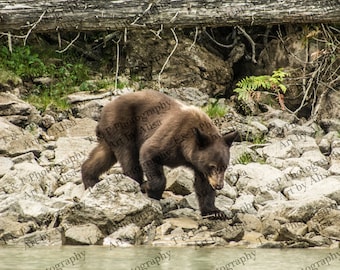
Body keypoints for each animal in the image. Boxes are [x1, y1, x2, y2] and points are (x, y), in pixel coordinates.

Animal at [81, 90, 238, 219]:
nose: (219, 185)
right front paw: (149, 188)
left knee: (104, 154)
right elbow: (149, 152)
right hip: (121, 126)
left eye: (224, 167)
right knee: (128, 156)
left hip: (110, 135)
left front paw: (215, 211)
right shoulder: (173, 136)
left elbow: (204, 185)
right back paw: (136, 184)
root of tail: (105, 109)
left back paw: (90, 180)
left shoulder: (198, 163)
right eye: (213, 166)